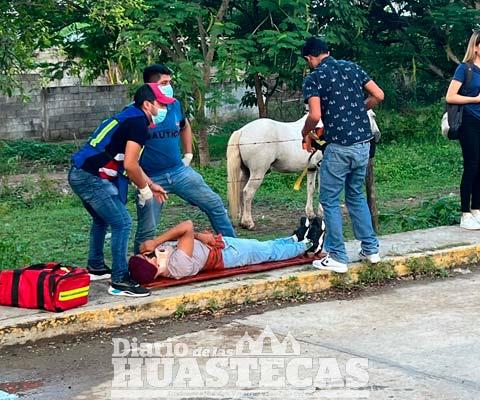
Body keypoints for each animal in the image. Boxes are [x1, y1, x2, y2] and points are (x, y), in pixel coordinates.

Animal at [227, 109, 380, 230]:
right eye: (372, 115)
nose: (377, 135)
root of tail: (242, 131)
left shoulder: (312, 169)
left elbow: (310, 190)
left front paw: (311, 214)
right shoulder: (322, 168)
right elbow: (322, 190)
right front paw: (322, 213)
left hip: (246, 172)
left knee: (240, 192)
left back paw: (242, 222)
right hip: (257, 173)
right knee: (248, 192)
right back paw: (249, 223)